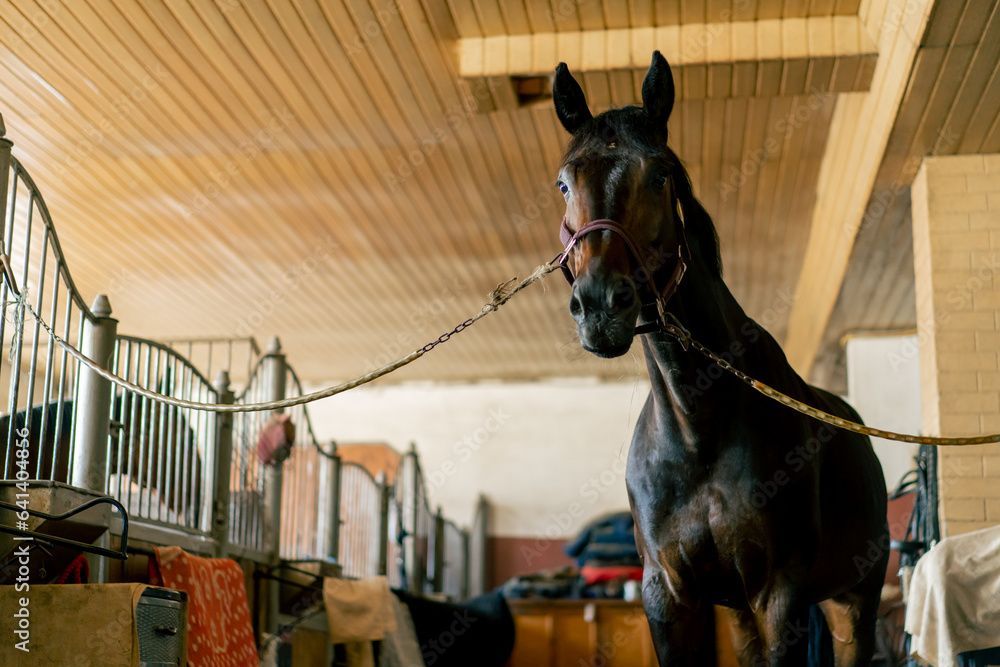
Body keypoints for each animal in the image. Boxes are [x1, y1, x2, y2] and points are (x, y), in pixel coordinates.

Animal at [551, 52, 888, 666]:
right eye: (564, 183)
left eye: (659, 174)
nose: (600, 306)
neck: (696, 430)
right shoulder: (670, 596)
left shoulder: (780, 596)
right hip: (741, 611)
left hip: (854, 600)